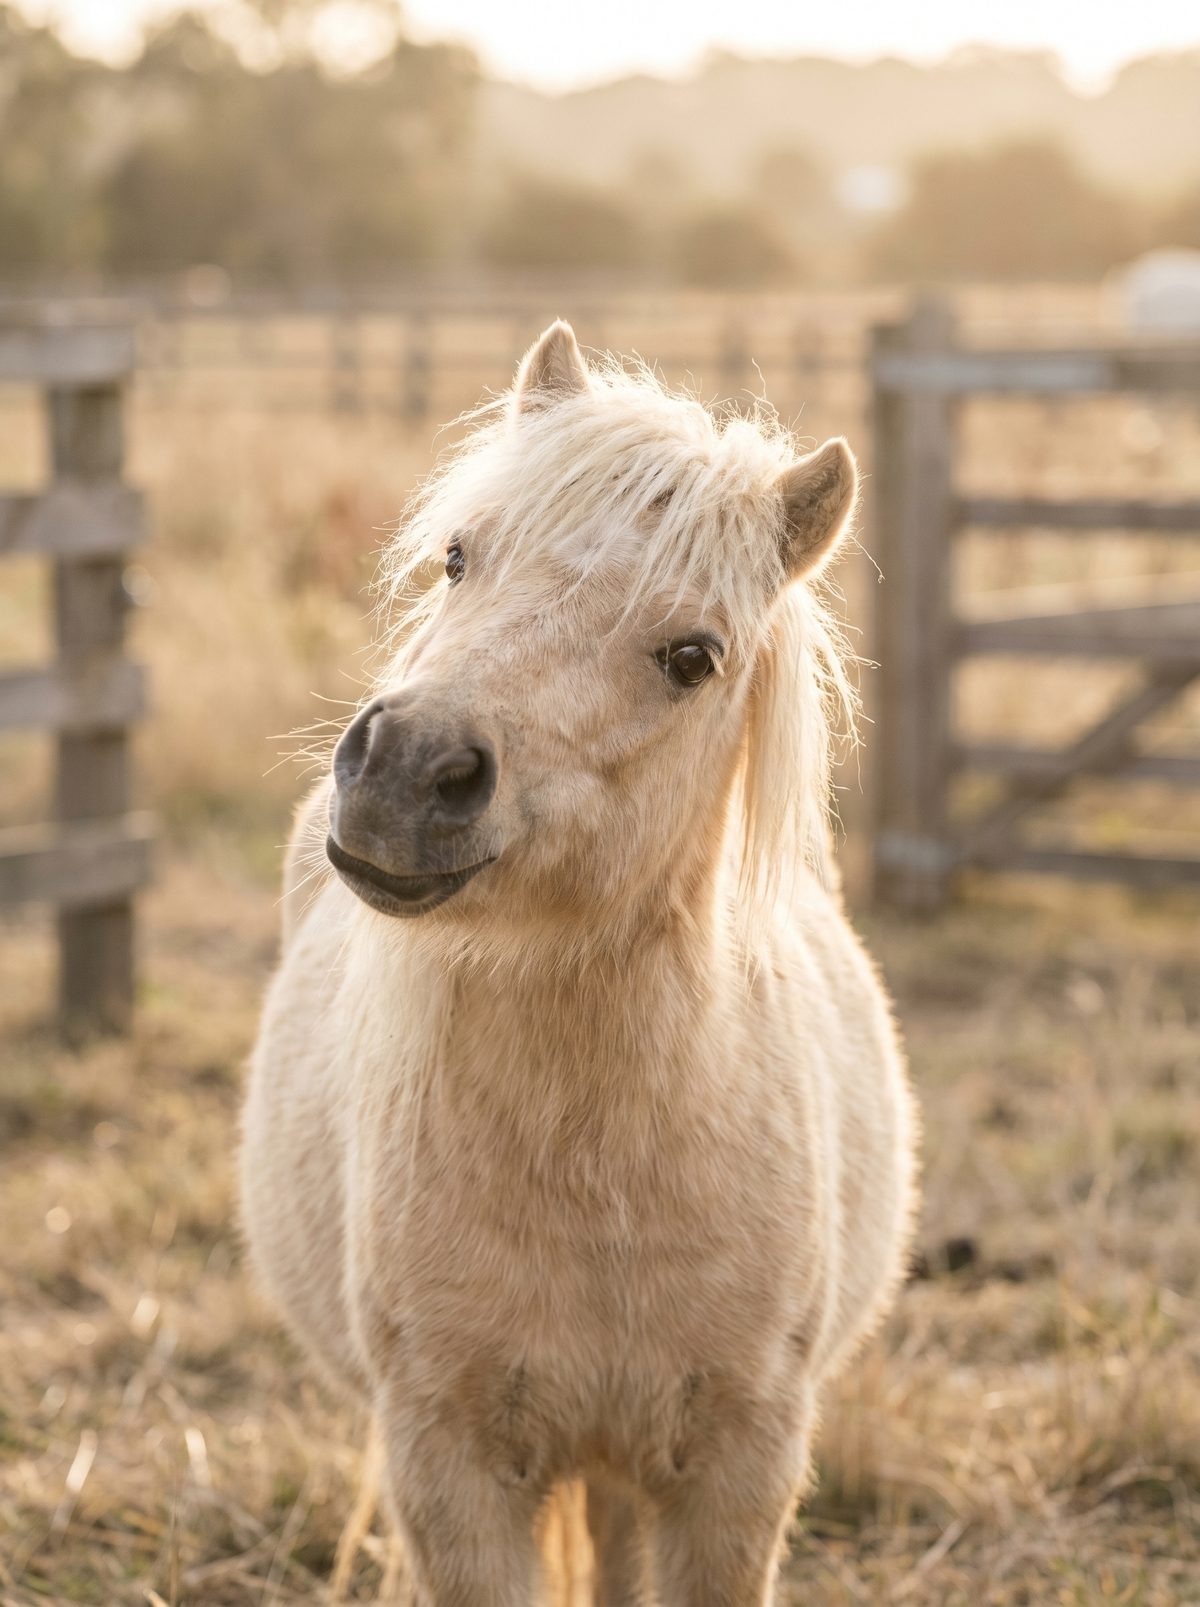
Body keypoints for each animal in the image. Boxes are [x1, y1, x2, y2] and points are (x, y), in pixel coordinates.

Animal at [241, 320, 918, 1606]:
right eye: (459, 556)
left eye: (693, 655)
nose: (405, 771)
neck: (599, 1163)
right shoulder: (449, 1465)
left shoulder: (736, 1468)